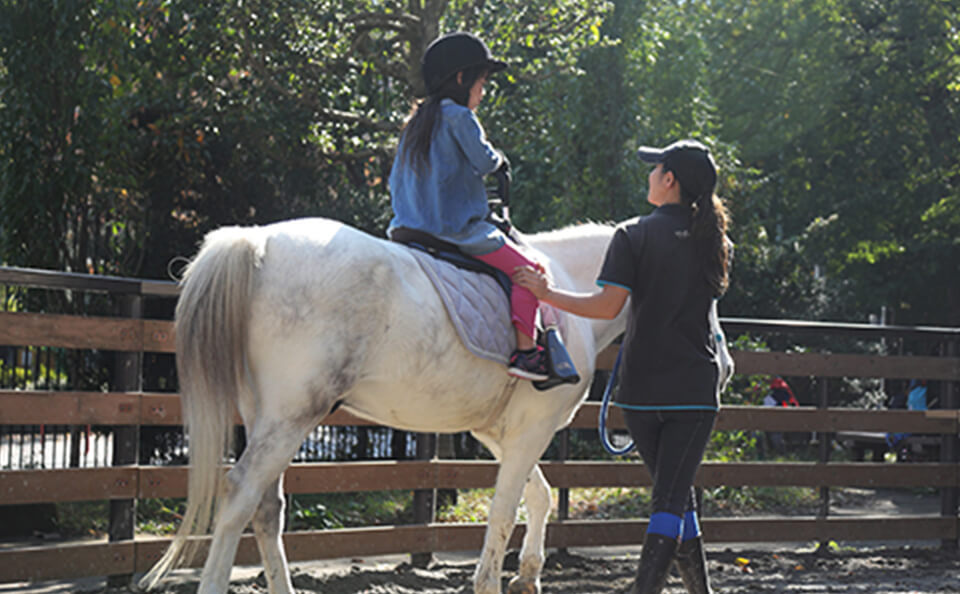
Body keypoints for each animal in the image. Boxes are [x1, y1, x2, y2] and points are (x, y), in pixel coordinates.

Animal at [139, 217, 628, 592]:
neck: (567, 286)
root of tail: (256, 242)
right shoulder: (531, 428)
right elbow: (505, 511)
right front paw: (494, 581)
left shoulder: (500, 433)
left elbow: (538, 494)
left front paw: (527, 576)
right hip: (291, 416)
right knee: (240, 495)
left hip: (267, 417)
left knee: (266, 508)